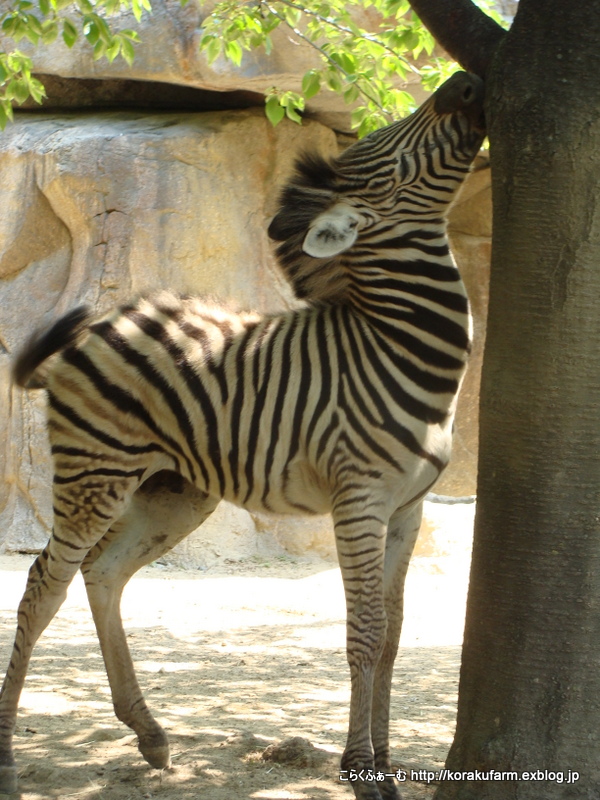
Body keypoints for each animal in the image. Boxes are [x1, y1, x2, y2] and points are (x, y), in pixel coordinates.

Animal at [0, 70, 486, 800]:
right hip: (96, 475)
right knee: (41, 588)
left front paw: (386, 763)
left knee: (104, 572)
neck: (397, 344)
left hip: (174, 489)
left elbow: (395, 634)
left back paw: (149, 733)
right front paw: (362, 772)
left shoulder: (409, 508)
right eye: (395, 157)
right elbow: (366, 632)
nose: (466, 82)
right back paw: (7, 751)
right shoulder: (359, 500)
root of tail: (104, 320)